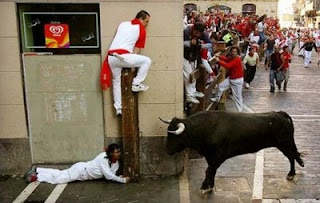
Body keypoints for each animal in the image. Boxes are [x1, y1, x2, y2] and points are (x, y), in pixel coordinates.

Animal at [161, 110, 304, 194]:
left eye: (175, 136)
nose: (167, 150)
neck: (207, 127)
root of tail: (280, 113)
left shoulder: (218, 156)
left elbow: (209, 170)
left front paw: (204, 187)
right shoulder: (210, 156)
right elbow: (212, 170)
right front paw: (210, 185)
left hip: (285, 144)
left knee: (291, 157)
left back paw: (291, 174)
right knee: (293, 156)